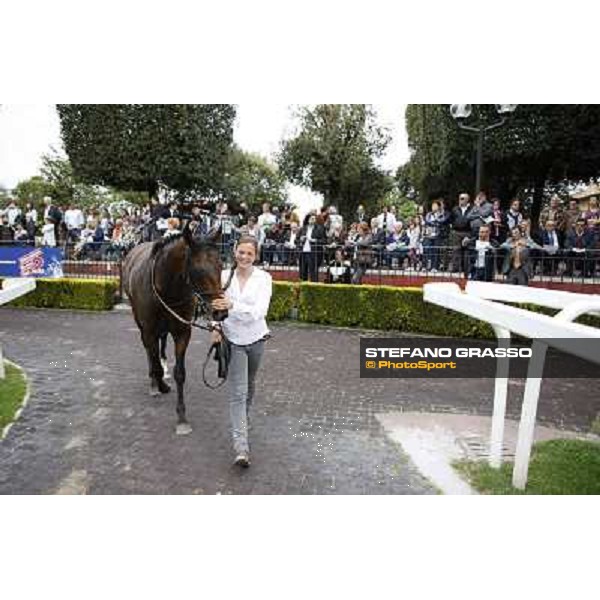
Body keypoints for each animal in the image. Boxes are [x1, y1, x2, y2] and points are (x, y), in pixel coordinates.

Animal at [122, 223, 227, 434]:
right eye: (198, 270)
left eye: (220, 265)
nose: (221, 311)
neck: (167, 289)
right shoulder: (149, 329)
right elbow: (154, 360)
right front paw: (160, 384)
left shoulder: (182, 332)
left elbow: (180, 372)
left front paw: (181, 417)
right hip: (140, 323)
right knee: (149, 351)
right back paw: (154, 383)